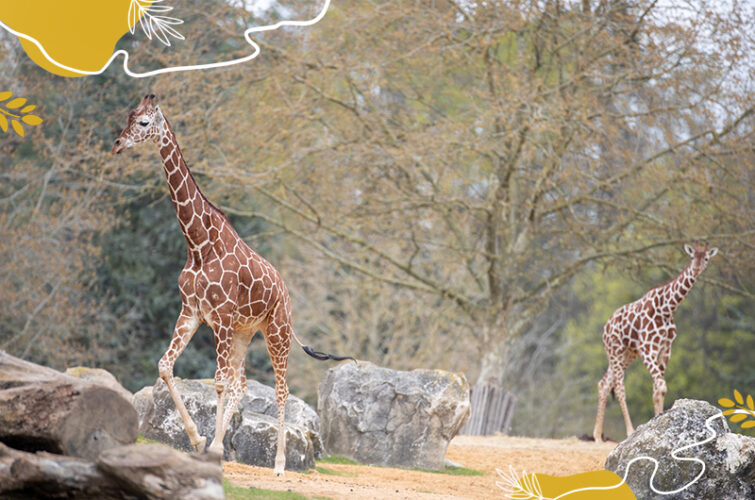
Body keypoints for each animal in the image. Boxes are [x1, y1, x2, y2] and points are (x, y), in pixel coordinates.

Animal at [110, 95, 352, 474]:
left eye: (145, 123)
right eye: (129, 117)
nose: (118, 144)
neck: (198, 244)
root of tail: (285, 291)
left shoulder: (219, 318)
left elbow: (219, 383)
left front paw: (209, 445)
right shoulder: (192, 312)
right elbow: (166, 366)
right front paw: (199, 441)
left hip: (276, 331)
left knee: (280, 389)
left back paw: (279, 464)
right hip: (244, 331)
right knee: (242, 383)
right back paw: (218, 445)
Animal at [592, 242, 716, 442]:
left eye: (705, 258)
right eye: (692, 257)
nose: (697, 269)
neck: (666, 308)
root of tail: (605, 327)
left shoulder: (664, 350)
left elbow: (658, 389)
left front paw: (659, 421)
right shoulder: (647, 349)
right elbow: (661, 385)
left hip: (627, 354)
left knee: (604, 384)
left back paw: (596, 435)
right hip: (616, 351)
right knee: (619, 388)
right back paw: (628, 431)